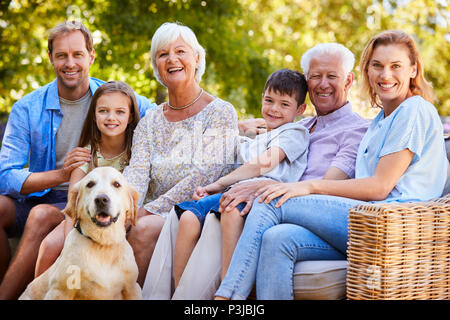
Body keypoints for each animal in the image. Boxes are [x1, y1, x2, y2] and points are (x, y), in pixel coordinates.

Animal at [19, 168, 142, 300]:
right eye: (90, 184)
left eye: (117, 184)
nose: (101, 199)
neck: (102, 245)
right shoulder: (60, 291)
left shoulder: (132, 288)